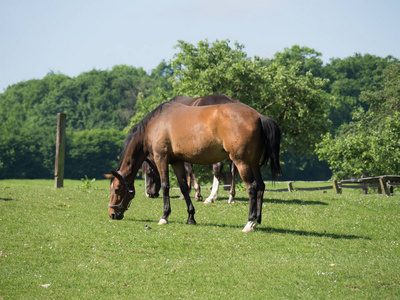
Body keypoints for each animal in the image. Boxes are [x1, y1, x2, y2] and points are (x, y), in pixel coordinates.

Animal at [106, 101, 282, 232]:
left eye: (117, 189)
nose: (112, 214)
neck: (155, 124)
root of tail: (259, 117)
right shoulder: (176, 161)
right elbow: (184, 187)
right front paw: (191, 217)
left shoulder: (161, 158)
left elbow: (165, 186)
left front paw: (164, 217)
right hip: (253, 163)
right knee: (261, 186)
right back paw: (257, 220)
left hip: (242, 162)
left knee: (252, 187)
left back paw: (250, 223)